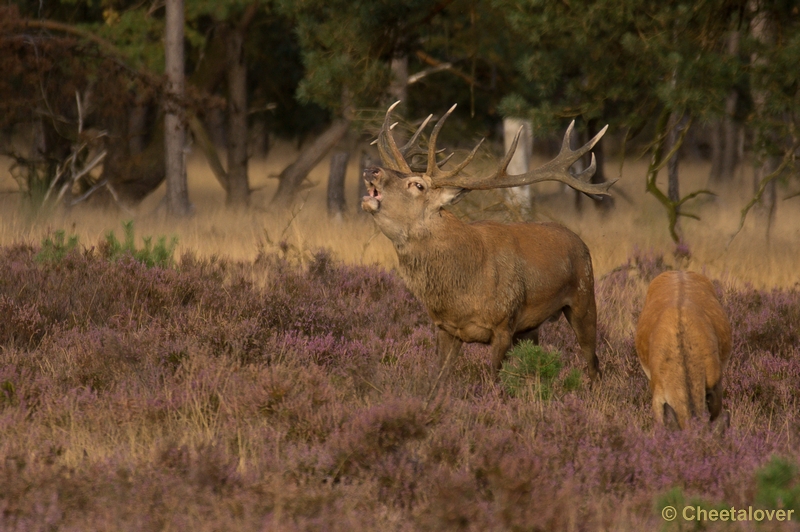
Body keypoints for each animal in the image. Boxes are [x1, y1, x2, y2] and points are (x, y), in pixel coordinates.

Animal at [362, 101, 620, 382]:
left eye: (417, 185)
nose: (372, 169)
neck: (462, 290)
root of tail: (577, 240)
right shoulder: (445, 327)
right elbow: (439, 380)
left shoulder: (504, 324)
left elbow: (494, 379)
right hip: (531, 328)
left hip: (584, 297)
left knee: (593, 361)